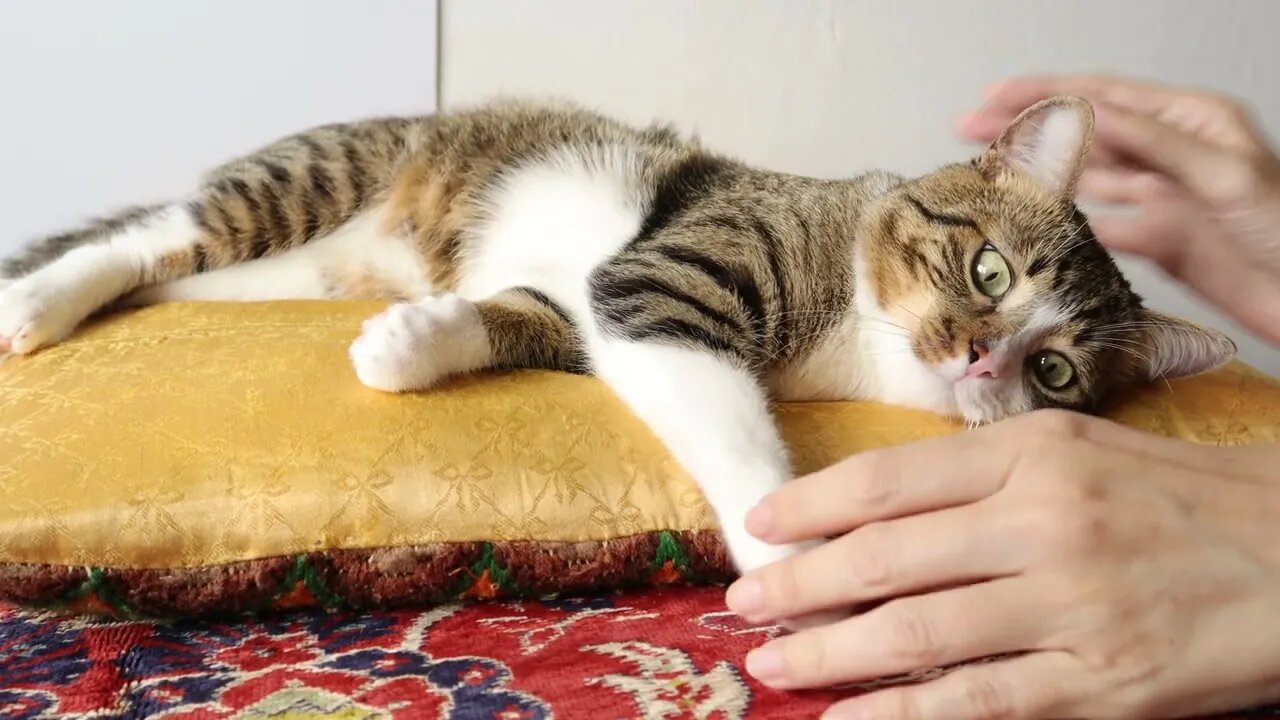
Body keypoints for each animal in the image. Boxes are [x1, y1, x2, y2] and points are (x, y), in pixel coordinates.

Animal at [2, 96, 1239, 571]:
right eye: (987, 269)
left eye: (1054, 369)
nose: (981, 358)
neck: (851, 324)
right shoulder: (671, 277)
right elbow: (729, 430)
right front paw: (786, 558)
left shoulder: (595, 300)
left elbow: (523, 319)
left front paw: (415, 342)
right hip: (315, 183)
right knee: (156, 236)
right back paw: (38, 301)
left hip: (287, 276)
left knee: (182, 279)